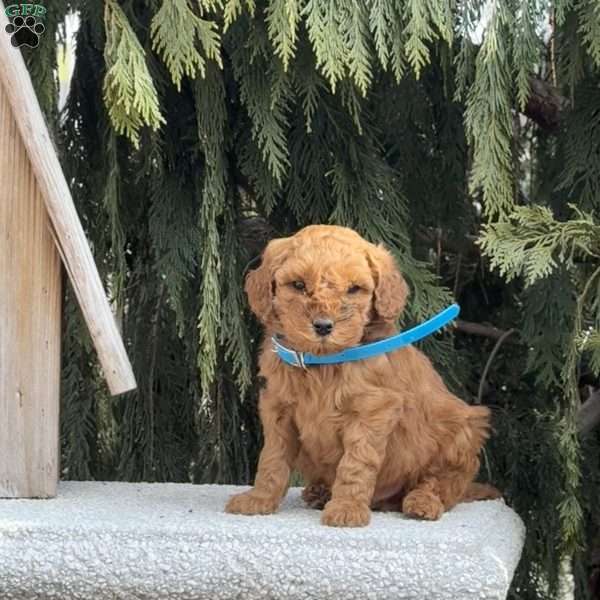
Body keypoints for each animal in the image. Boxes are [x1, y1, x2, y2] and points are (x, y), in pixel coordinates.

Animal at [225, 224, 496, 524]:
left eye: (354, 289)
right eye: (298, 285)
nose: (323, 326)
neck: (323, 364)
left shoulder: (372, 411)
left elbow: (356, 463)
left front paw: (346, 508)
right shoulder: (278, 409)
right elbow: (272, 458)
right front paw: (259, 499)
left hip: (461, 429)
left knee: (442, 482)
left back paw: (422, 501)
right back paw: (319, 492)